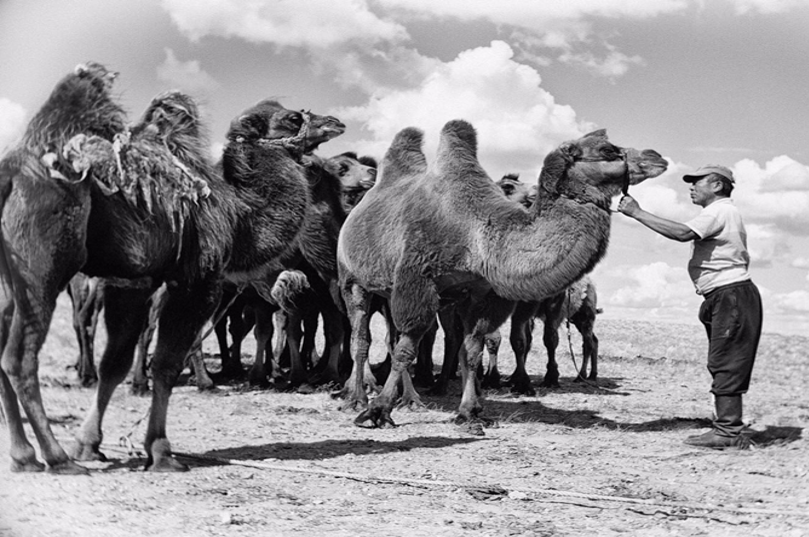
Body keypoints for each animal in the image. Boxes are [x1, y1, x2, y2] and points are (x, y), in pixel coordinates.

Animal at [0, 63, 344, 474]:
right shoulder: (196, 281)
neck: (240, 218)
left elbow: (114, 365)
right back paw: (56, 457)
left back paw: (24, 456)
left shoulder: (132, 283)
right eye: (293, 118)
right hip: (45, 268)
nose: (335, 122)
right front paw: (162, 452)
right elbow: (165, 365)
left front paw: (89, 444)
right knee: (19, 357)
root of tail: (10, 173)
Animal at [334, 120, 664, 432]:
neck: (476, 233)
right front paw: (377, 411)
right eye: (608, 150)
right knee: (361, 336)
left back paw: (409, 398)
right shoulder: (419, 280)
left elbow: (472, 349)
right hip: (352, 280)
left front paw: (469, 413)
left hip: (391, 291)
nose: (657, 156)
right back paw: (357, 398)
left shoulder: (479, 294)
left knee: (391, 337)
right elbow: (406, 349)